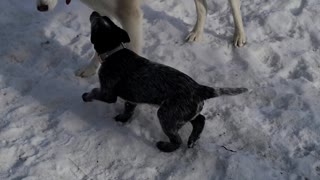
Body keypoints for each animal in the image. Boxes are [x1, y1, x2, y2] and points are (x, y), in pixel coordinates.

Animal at [36, 0, 246, 76]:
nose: (41, 8)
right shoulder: (103, 13)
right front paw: (89, 70)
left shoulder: (131, 16)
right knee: (203, 7)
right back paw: (197, 33)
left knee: (235, 6)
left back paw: (239, 35)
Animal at [82, 11, 248, 152]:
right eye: (105, 18)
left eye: (96, 23)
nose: (94, 12)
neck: (114, 51)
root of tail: (199, 88)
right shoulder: (132, 98)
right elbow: (128, 109)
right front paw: (123, 118)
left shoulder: (107, 93)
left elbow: (95, 92)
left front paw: (86, 97)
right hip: (185, 112)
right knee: (200, 119)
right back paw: (192, 139)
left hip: (167, 115)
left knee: (178, 140)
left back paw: (165, 146)